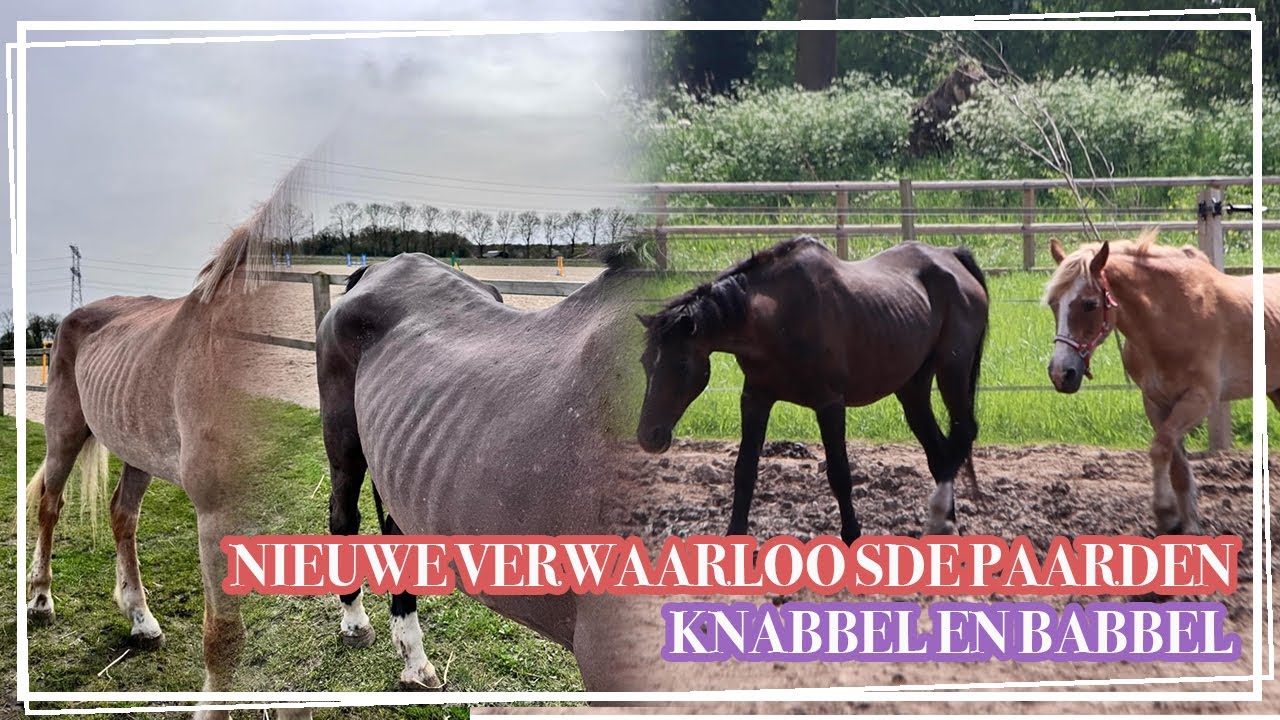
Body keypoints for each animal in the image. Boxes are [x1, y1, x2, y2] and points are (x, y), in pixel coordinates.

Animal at [25, 178, 313, 720]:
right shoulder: (217, 516)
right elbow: (224, 637)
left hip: (135, 451)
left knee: (122, 515)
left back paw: (141, 619)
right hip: (64, 435)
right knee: (50, 505)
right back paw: (41, 600)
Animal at [634, 236, 990, 543]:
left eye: (681, 365)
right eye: (645, 362)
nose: (649, 436)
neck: (779, 316)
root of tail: (951, 257)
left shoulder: (830, 403)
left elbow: (840, 474)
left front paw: (852, 536)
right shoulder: (755, 399)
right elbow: (744, 470)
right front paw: (735, 536)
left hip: (952, 369)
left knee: (962, 435)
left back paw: (940, 518)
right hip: (912, 386)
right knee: (938, 452)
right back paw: (944, 526)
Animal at [1044, 229, 1280, 534]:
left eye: (1090, 304)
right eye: (1054, 304)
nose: (1061, 373)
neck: (1173, 318)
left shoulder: (1198, 399)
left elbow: (1160, 447)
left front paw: (1166, 513)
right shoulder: (1156, 401)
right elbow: (1175, 463)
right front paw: (1185, 521)